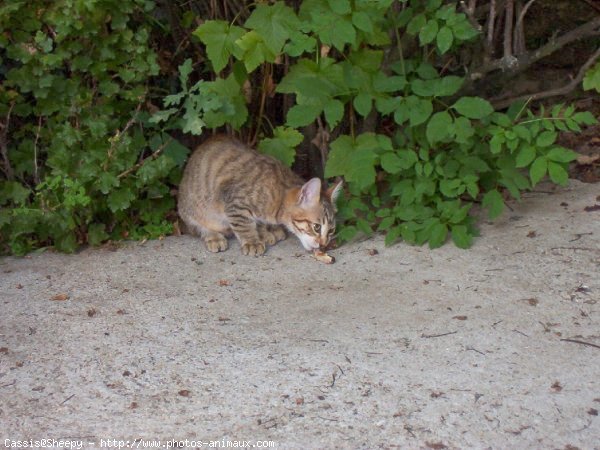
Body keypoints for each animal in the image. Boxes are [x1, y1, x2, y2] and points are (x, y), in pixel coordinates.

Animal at [177, 135, 342, 256]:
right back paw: (213, 237)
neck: (278, 196)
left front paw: (263, 232)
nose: (323, 244)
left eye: (331, 230)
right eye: (316, 227)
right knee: (198, 227)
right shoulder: (235, 203)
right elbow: (244, 224)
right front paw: (252, 242)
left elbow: (257, 222)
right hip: (193, 209)